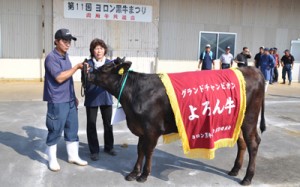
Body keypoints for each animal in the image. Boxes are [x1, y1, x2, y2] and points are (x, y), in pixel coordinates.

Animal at [88, 57, 266, 186]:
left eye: (105, 68)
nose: (89, 72)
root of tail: (253, 69)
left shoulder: (152, 129)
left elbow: (148, 151)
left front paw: (144, 175)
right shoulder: (141, 128)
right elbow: (139, 150)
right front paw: (133, 173)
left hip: (250, 118)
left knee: (253, 143)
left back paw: (247, 178)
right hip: (237, 120)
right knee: (242, 142)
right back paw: (235, 169)